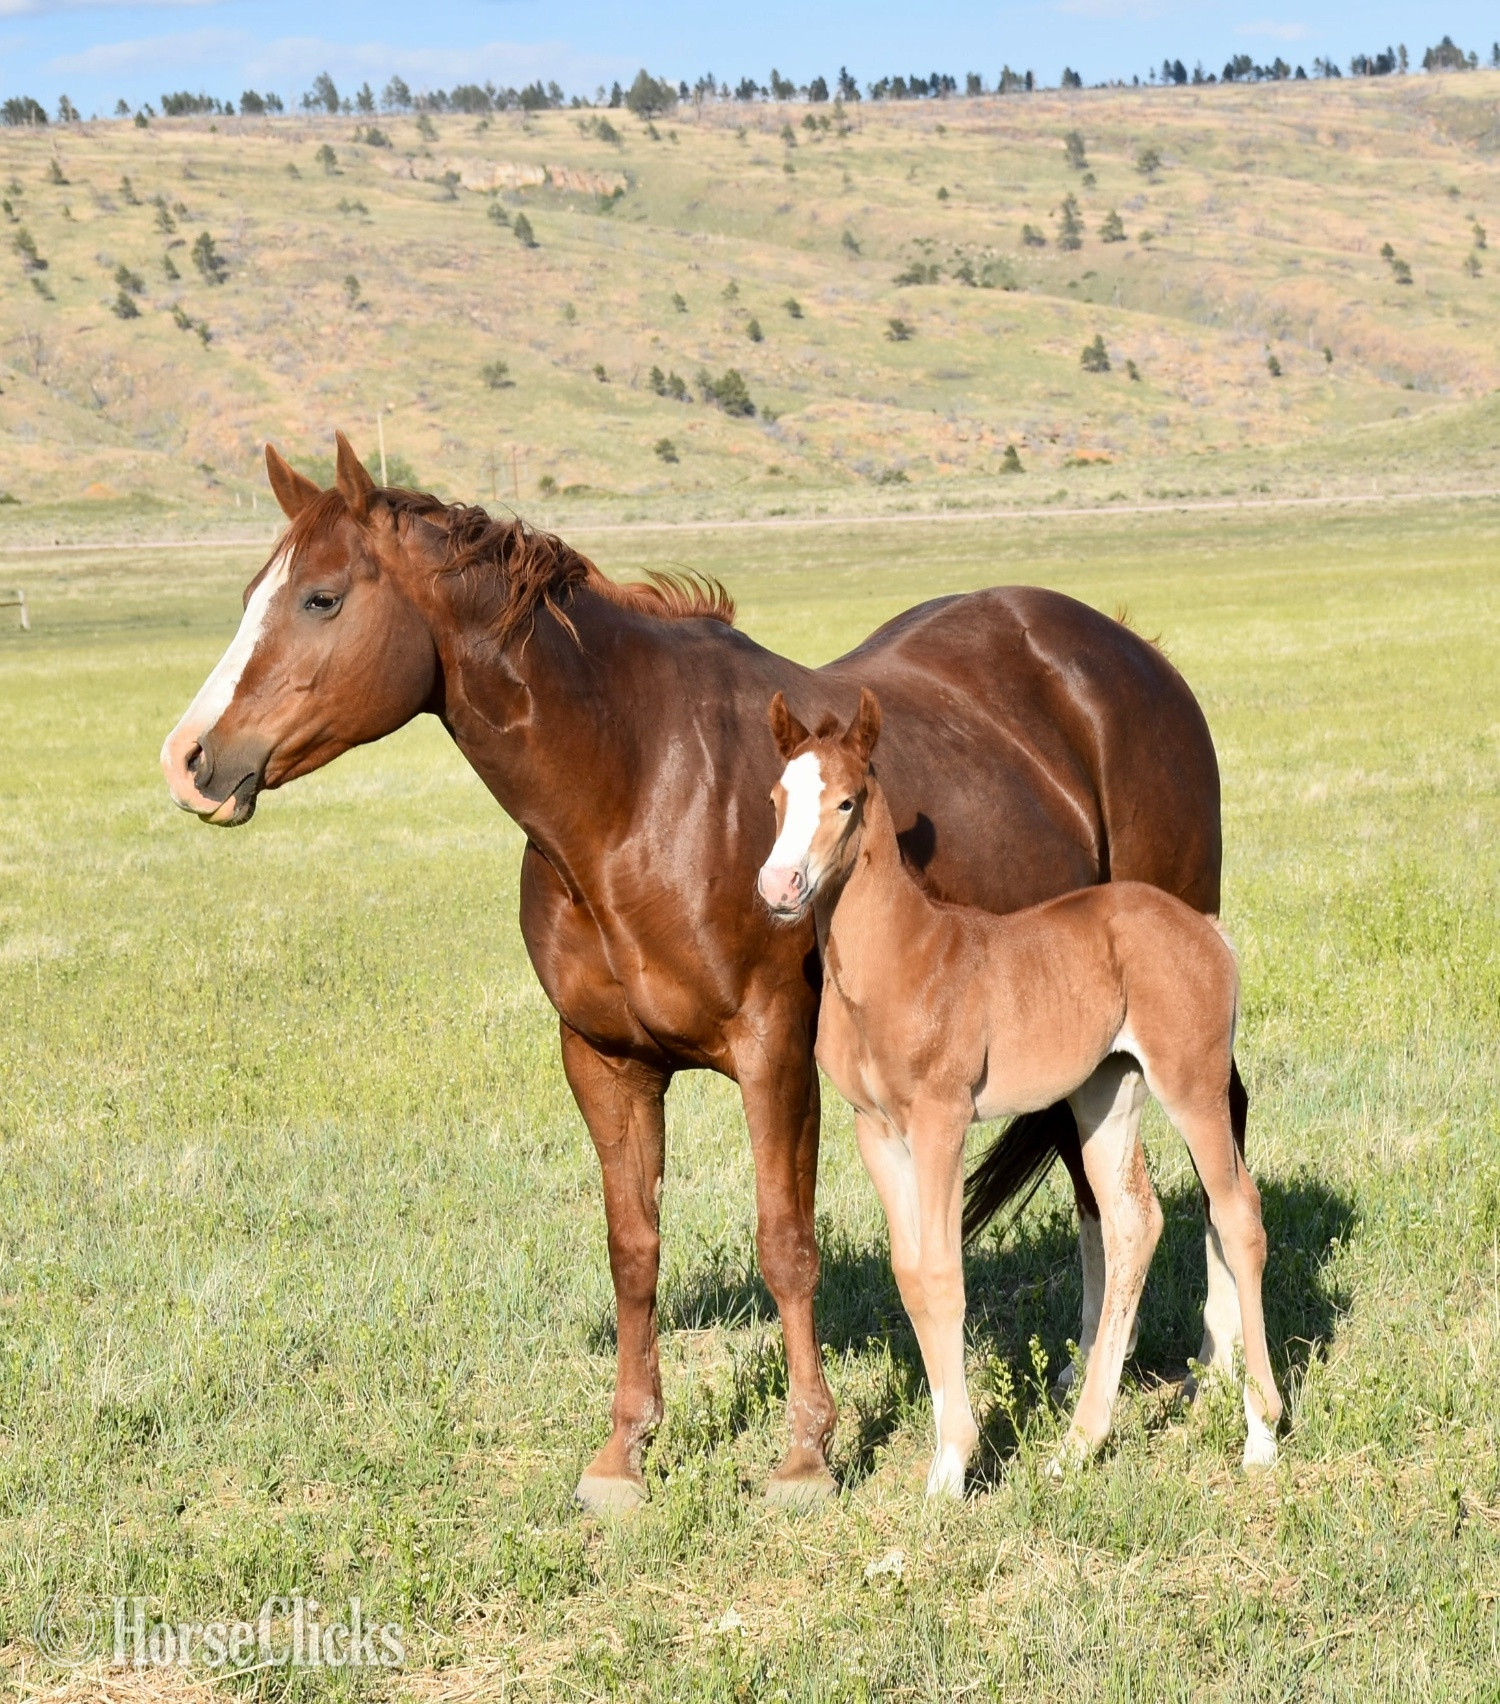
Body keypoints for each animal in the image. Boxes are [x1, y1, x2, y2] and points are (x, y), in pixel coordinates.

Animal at [758, 689, 1281, 1495]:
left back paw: (1260, 1432)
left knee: (1237, 1214)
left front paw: (952, 1465)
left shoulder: (941, 1122)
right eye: (777, 799)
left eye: (845, 801)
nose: (779, 887)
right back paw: (1080, 1443)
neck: (896, 962)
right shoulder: (875, 1130)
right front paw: (949, 1444)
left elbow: (943, 1272)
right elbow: (911, 1276)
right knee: (1133, 1224)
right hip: (1106, 1095)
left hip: (1193, 1085)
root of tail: (1207, 931)